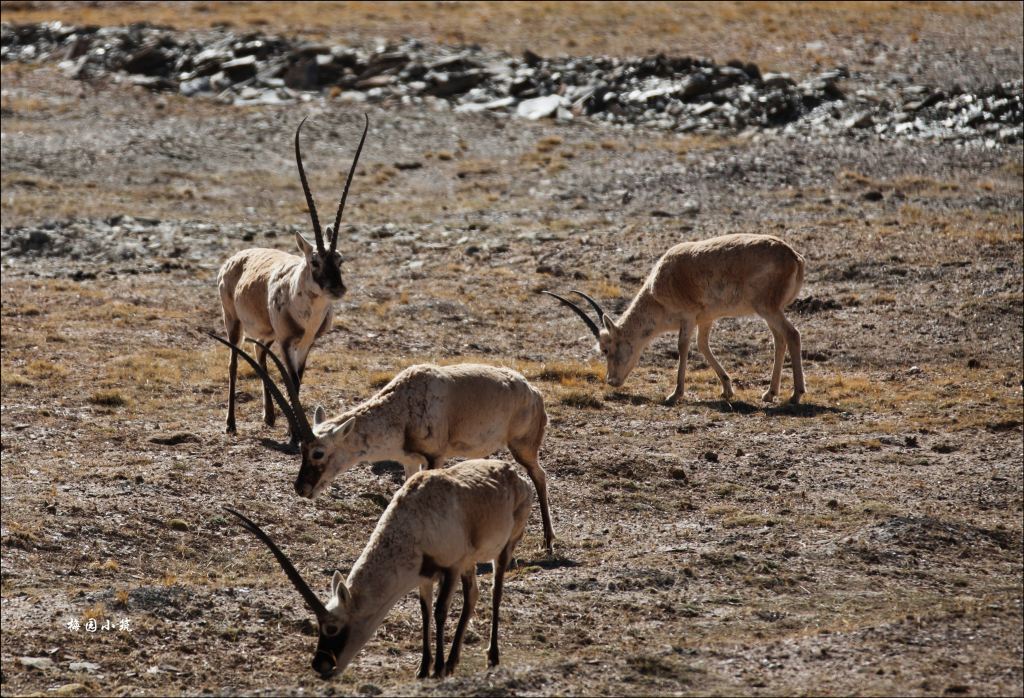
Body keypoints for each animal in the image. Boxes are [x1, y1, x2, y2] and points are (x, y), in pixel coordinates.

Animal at [214, 114, 370, 440]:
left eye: (340, 259)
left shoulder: (306, 343)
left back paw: (269, 417)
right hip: (232, 321)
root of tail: (234, 259)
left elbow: (298, 378)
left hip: (267, 333)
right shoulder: (287, 342)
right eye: (314, 261)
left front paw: (291, 428)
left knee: (259, 355)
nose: (337, 288)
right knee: (234, 361)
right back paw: (231, 424)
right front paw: (295, 433)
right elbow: (291, 381)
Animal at [221, 456, 532, 675]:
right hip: (470, 564)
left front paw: (438, 670)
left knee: (494, 593)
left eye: (332, 628)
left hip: (503, 550)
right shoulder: (424, 576)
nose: (320, 665)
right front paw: (424, 669)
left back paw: (491, 656)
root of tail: (516, 476)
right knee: (473, 596)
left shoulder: (451, 567)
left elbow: (440, 612)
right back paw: (455, 660)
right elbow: (425, 613)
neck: (414, 519)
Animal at [544, 233, 806, 405]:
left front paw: (675, 394)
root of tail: (794, 257)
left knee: (792, 334)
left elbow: (683, 347)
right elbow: (703, 345)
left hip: (767, 308)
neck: (657, 287)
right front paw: (727, 389)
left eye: (606, 349)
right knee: (779, 339)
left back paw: (796, 394)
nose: (611, 381)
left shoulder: (687, 317)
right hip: (768, 311)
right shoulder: (705, 319)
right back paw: (770, 393)